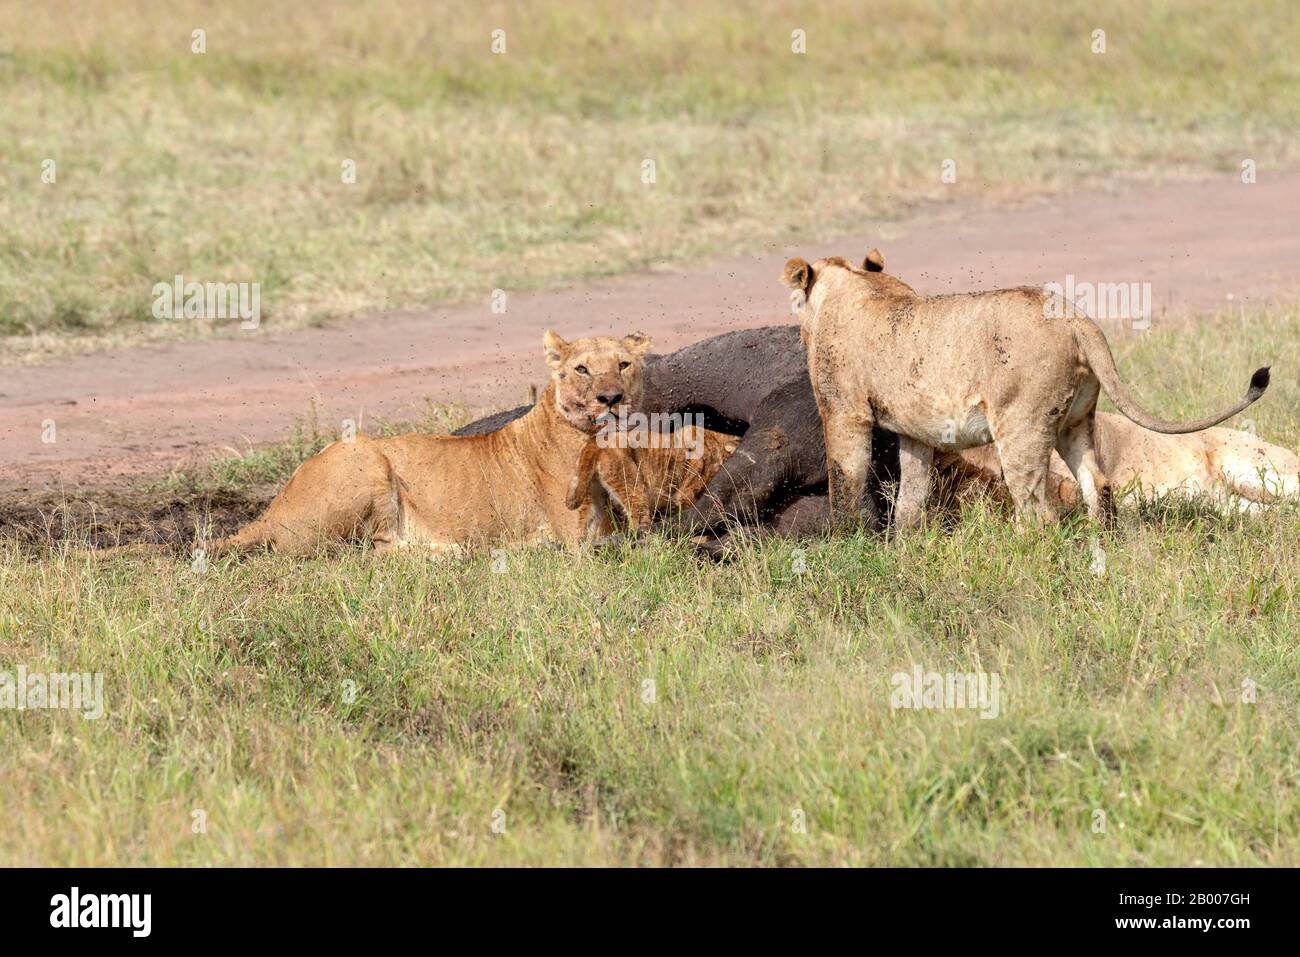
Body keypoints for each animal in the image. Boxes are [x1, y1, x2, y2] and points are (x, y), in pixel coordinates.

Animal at [209, 330, 655, 556]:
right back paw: (451, 552)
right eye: (581, 369)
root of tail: (273, 507)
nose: (611, 398)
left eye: (623, 364)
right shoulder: (576, 541)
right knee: (370, 552)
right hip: (366, 459)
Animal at [780, 247, 1268, 530]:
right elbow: (911, 500)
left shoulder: (844, 413)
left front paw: (845, 545)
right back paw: (1102, 551)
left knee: (1039, 511)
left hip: (1020, 427)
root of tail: (1074, 317)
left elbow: (844, 482)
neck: (851, 282)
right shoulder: (915, 432)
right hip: (1075, 423)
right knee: (1098, 486)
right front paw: (905, 549)